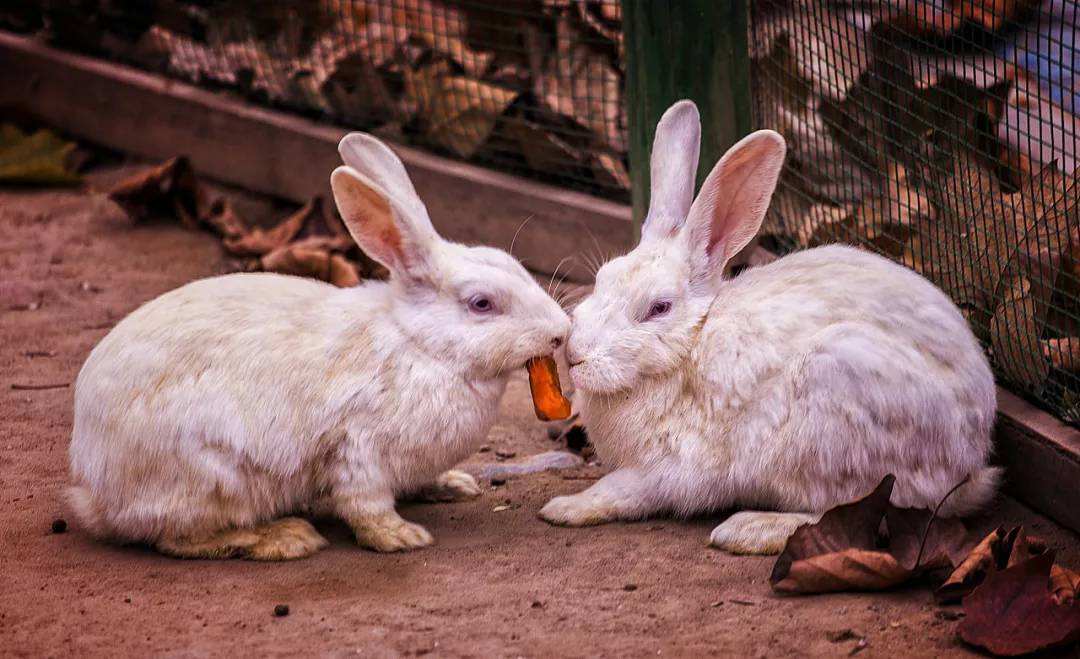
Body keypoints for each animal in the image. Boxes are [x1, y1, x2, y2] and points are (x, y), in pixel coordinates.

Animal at [70, 133, 570, 557]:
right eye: (481, 303)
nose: (561, 331)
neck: (420, 345)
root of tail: (92, 490)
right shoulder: (358, 449)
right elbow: (365, 505)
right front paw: (401, 537)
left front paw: (453, 485)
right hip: (213, 476)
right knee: (180, 538)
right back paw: (286, 538)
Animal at [544, 99, 997, 550]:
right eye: (602, 278)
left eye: (658, 308)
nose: (574, 354)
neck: (690, 345)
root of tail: (969, 467)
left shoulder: (671, 469)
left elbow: (623, 490)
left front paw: (564, 508)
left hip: (834, 398)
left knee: (852, 513)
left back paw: (747, 529)